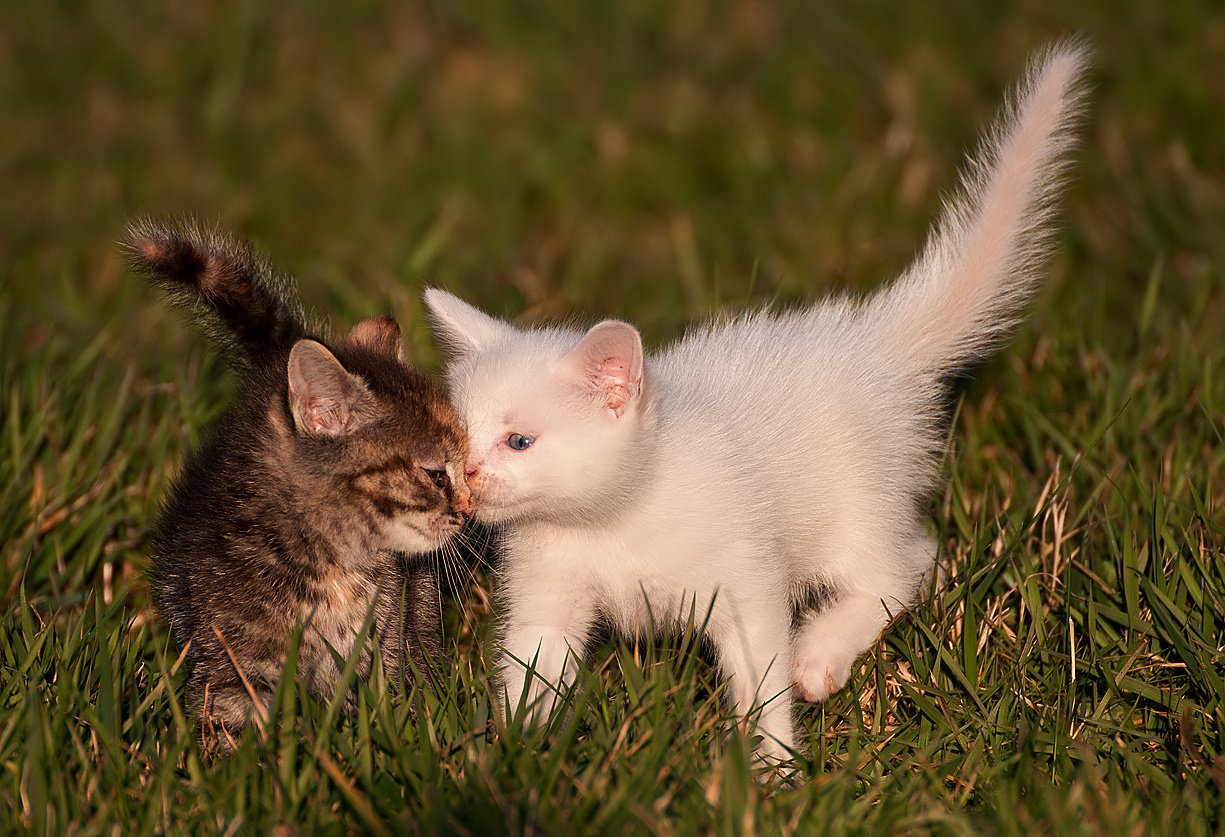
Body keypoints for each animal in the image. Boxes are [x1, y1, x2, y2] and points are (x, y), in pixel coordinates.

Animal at [129, 220, 472, 754]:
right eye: (437, 474)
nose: (469, 510)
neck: (330, 567)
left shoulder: (381, 647)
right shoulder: (233, 657)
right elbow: (231, 727)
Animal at [426, 45, 1087, 764]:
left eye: (519, 441)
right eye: (455, 441)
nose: (464, 476)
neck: (609, 520)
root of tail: (868, 339)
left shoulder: (743, 577)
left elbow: (760, 674)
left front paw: (771, 769)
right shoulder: (547, 589)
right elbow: (532, 665)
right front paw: (508, 755)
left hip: (857, 503)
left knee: (907, 564)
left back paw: (819, 654)